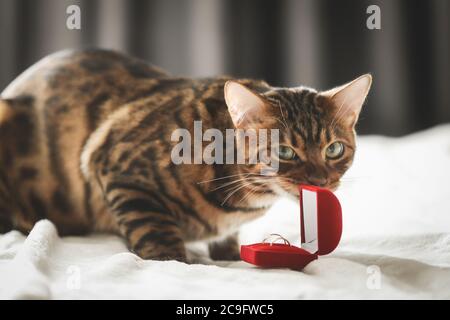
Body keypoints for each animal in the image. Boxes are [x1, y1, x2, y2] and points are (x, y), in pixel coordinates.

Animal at [0, 48, 370, 262]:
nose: (320, 180)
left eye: (334, 149)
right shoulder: (115, 166)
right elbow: (155, 231)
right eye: (284, 151)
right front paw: (173, 261)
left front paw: (229, 255)